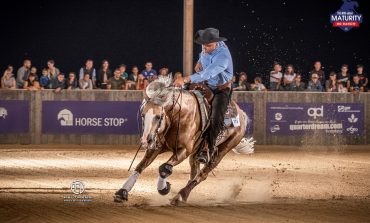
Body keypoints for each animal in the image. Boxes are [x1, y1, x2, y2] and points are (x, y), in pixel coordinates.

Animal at [113, 76, 254, 205]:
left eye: (159, 117)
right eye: (143, 115)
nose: (145, 141)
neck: (178, 116)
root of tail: (241, 114)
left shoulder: (184, 150)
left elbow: (165, 168)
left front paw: (164, 188)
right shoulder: (156, 147)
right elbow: (140, 166)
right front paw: (122, 192)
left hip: (221, 152)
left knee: (202, 174)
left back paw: (180, 196)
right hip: (196, 154)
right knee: (194, 173)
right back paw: (184, 196)